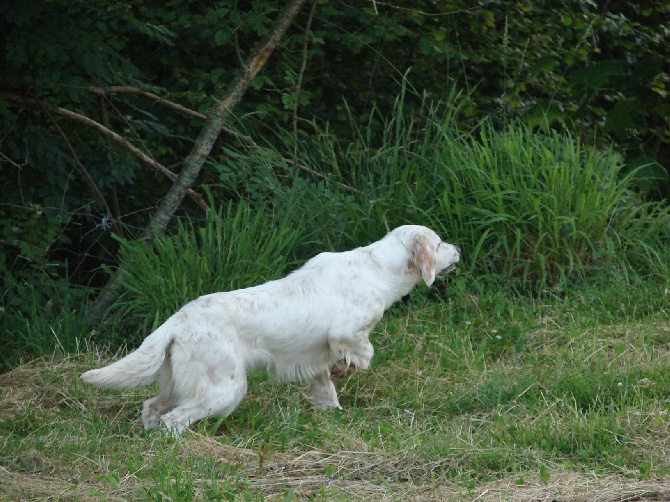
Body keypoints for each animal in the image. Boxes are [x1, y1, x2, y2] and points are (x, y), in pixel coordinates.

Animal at [81, 226, 462, 434]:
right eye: (440, 244)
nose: (458, 248)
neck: (378, 269)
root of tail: (178, 320)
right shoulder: (345, 331)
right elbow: (362, 350)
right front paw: (351, 366)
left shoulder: (315, 360)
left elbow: (326, 391)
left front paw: (335, 415)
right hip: (223, 389)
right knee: (174, 420)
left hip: (179, 383)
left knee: (152, 407)